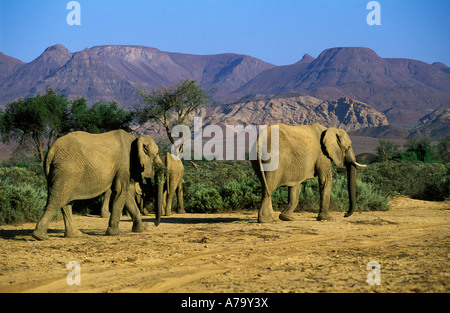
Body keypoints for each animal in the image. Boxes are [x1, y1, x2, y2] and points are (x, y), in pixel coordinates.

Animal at [32, 129, 165, 239]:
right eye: (157, 154)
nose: (155, 224)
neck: (134, 137)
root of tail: (51, 151)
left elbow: (125, 194)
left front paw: (142, 229)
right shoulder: (124, 162)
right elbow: (121, 190)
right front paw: (113, 233)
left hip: (62, 171)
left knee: (65, 201)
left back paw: (75, 235)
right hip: (67, 170)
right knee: (58, 199)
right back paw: (40, 236)